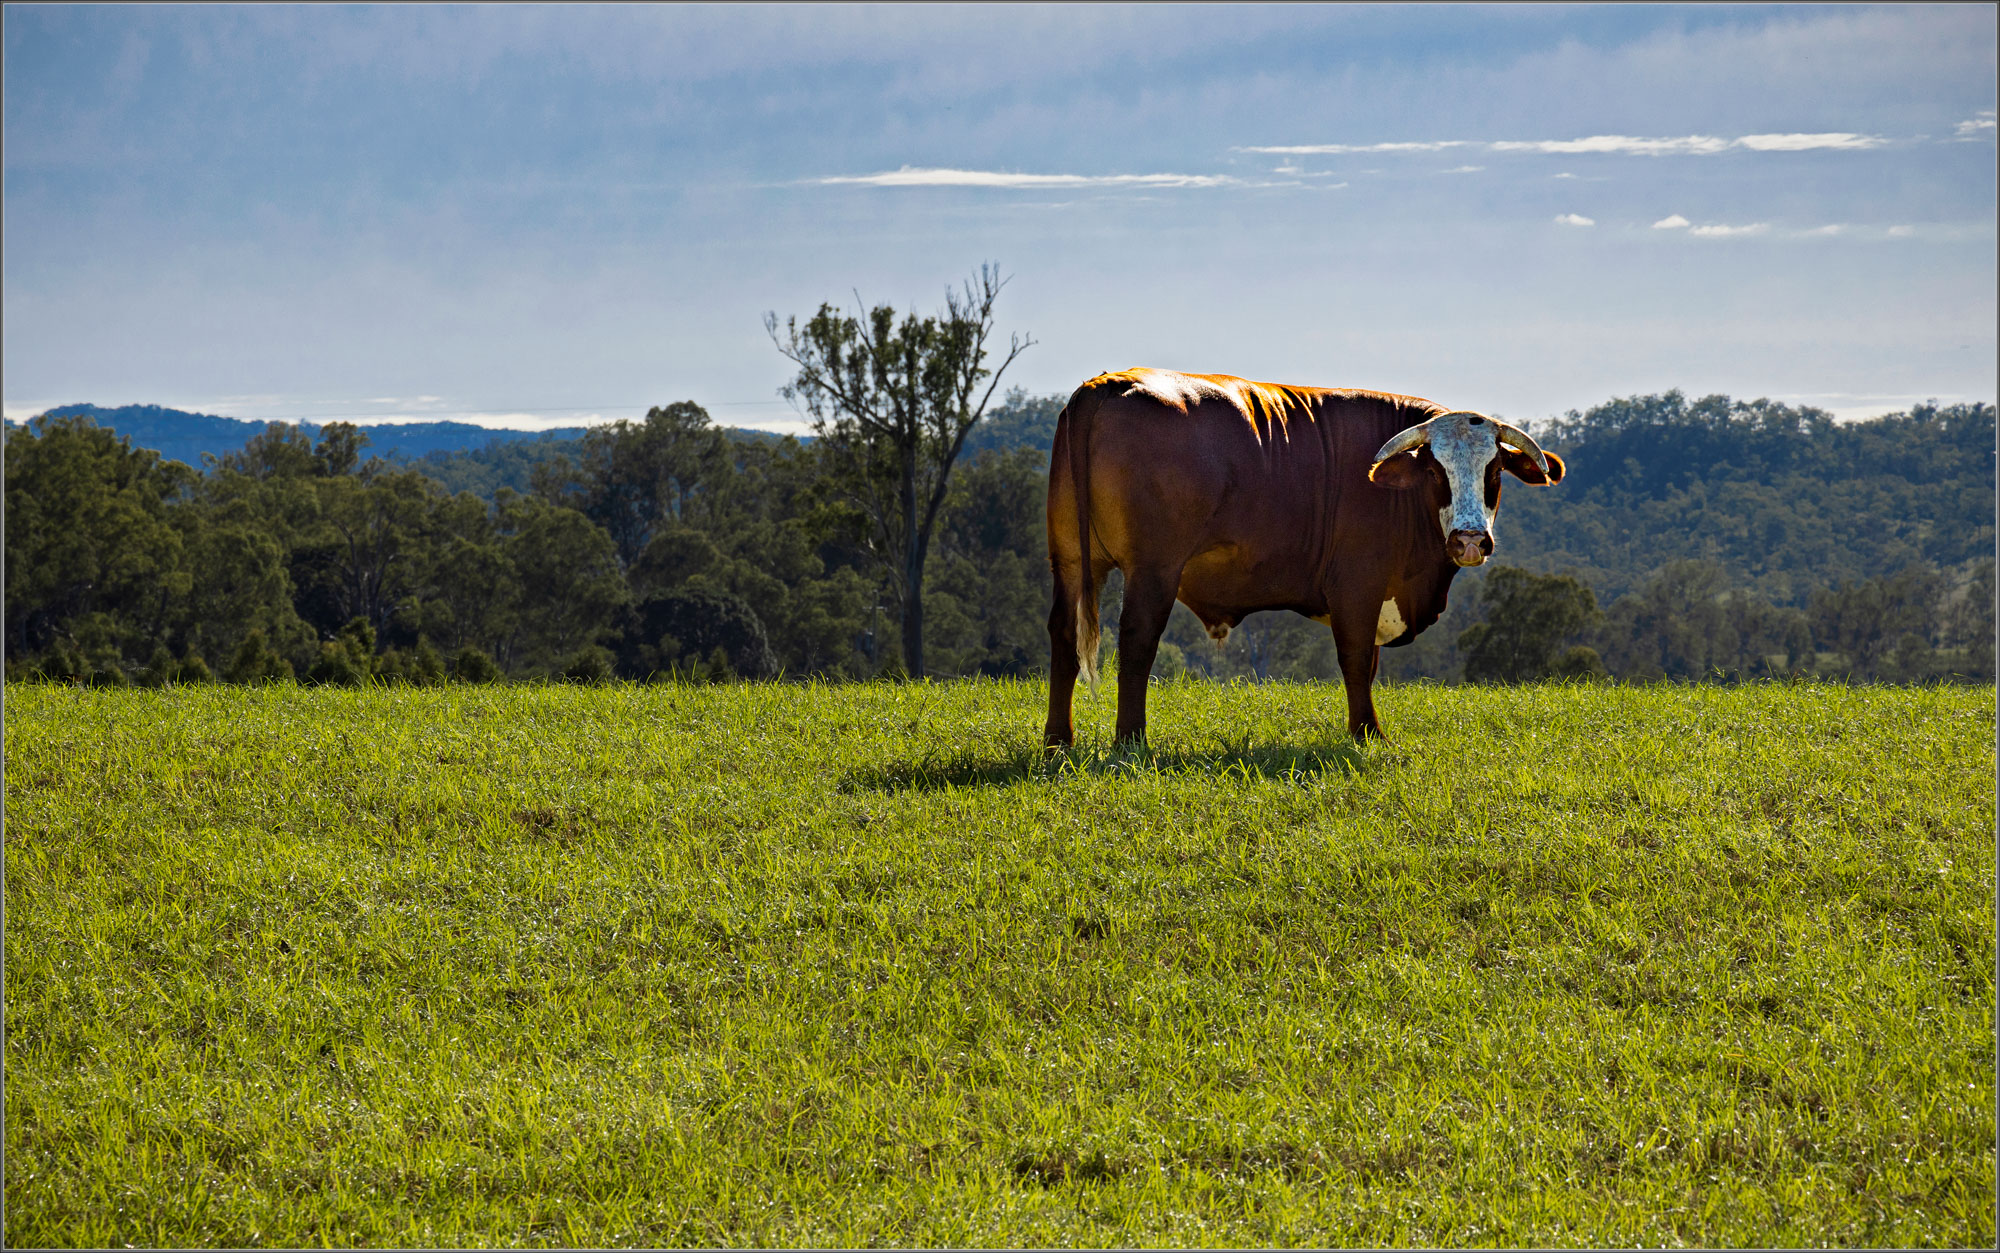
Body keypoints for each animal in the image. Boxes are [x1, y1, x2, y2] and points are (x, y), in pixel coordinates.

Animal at [1048, 368, 1560, 740]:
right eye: (1436, 471)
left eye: (1494, 470)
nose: (1469, 540)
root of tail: (1110, 382)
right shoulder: (1356, 587)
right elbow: (1356, 658)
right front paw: (1367, 734)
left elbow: (1368, 666)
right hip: (1153, 570)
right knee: (1137, 640)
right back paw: (1130, 740)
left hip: (1070, 562)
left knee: (1064, 634)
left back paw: (1059, 739)